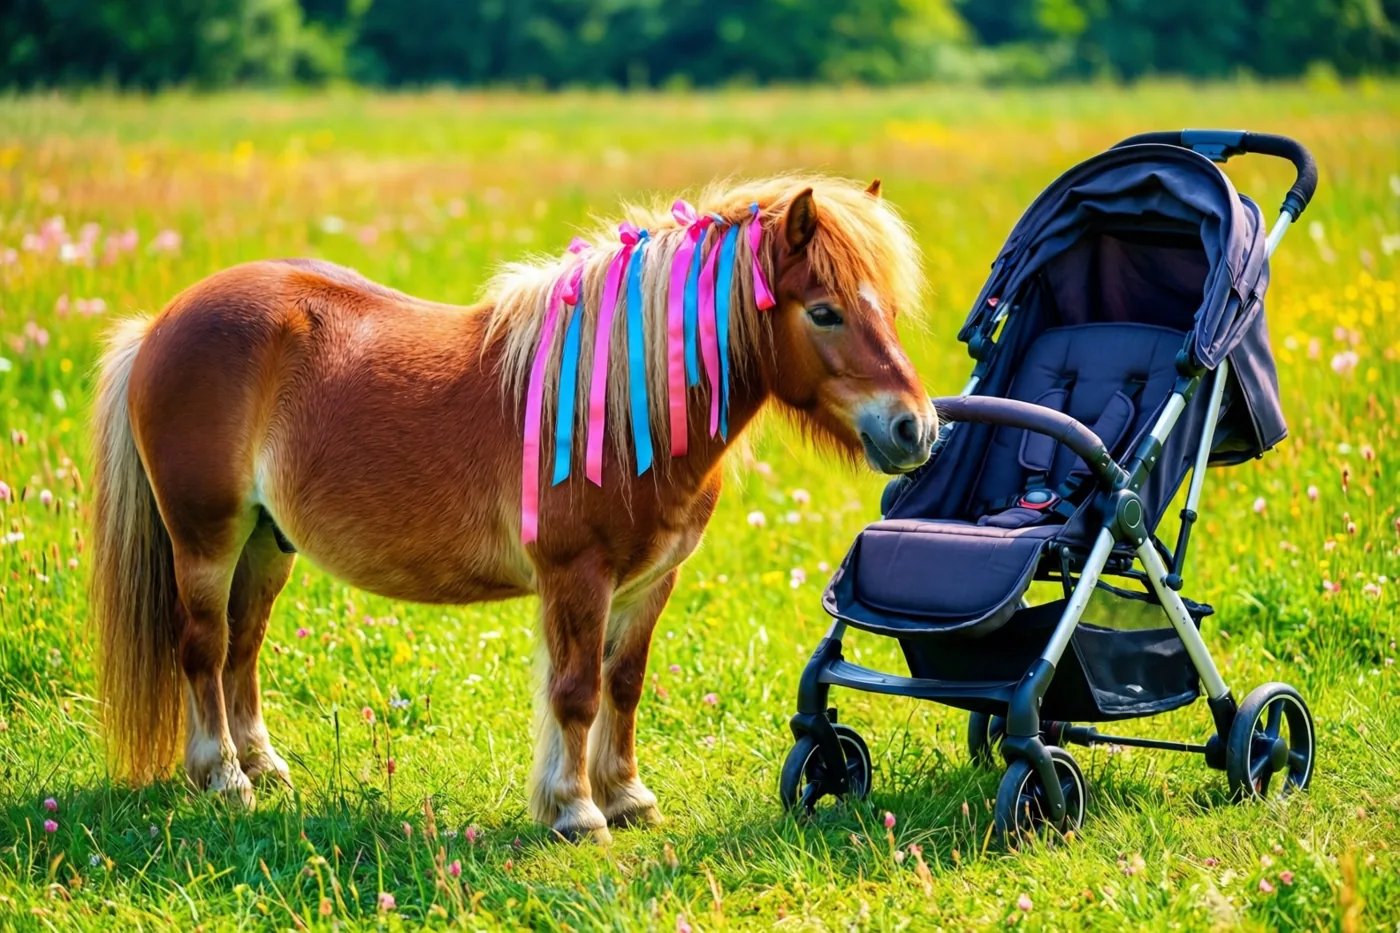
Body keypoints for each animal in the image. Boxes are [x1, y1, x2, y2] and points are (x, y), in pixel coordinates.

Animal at [89, 174, 936, 842]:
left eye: (888, 309)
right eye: (823, 311)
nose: (916, 429)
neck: (621, 402)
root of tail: (161, 322)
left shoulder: (648, 582)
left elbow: (623, 685)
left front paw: (625, 797)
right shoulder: (577, 576)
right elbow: (576, 690)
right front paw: (576, 811)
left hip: (267, 545)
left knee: (243, 648)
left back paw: (264, 767)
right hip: (207, 537)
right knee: (203, 647)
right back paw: (224, 777)